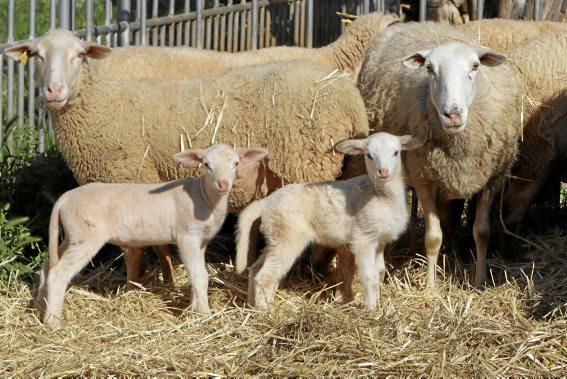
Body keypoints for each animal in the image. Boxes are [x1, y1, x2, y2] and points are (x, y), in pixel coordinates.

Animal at [37, 144, 268, 326]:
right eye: (206, 164)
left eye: (236, 163)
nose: (223, 184)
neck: (204, 197)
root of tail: (65, 198)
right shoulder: (187, 238)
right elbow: (200, 276)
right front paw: (204, 313)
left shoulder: (200, 242)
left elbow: (196, 274)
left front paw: (193, 308)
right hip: (86, 235)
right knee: (59, 273)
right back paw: (52, 322)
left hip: (72, 235)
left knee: (48, 265)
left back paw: (40, 307)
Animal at [234, 132, 422, 310]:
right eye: (368, 155)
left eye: (396, 152)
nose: (383, 172)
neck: (381, 195)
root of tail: (265, 202)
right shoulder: (364, 239)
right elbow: (371, 276)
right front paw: (371, 309)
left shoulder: (379, 241)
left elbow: (381, 272)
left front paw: (379, 304)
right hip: (288, 236)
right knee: (266, 275)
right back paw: (264, 310)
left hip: (275, 238)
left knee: (255, 269)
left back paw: (251, 304)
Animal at [360, 22, 524, 290]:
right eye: (429, 68)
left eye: (475, 67)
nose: (453, 114)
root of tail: (410, 23)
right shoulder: (423, 179)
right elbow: (432, 237)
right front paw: (430, 287)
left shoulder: (492, 179)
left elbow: (481, 232)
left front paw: (479, 281)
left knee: (450, 220)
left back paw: (454, 255)